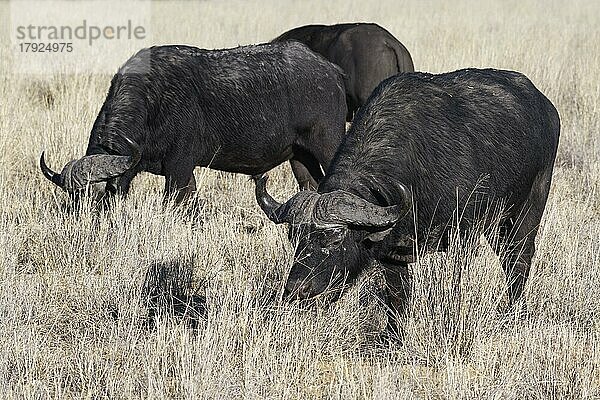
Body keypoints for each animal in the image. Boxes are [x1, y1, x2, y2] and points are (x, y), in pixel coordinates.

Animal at [39, 41, 346, 203]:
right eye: (74, 201)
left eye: (100, 196)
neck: (154, 102)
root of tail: (331, 71)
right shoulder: (184, 172)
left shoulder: (179, 167)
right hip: (299, 157)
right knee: (311, 185)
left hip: (328, 145)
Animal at [255, 68, 560, 334]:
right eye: (295, 238)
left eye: (333, 239)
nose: (296, 289)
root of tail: (545, 107)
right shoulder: (392, 251)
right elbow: (397, 294)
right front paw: (393, 336)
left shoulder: (463, 235)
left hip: (526, 211)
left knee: (519, 258)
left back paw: (513, 311)